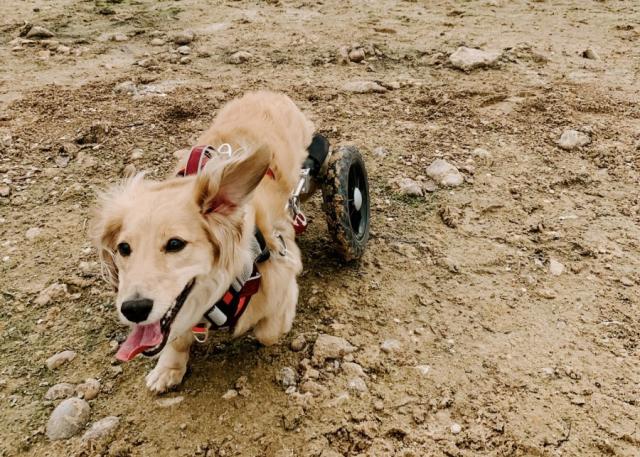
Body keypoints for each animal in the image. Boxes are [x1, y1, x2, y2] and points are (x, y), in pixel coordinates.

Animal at [92, 91, 316, 392]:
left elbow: (268, 330)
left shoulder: (284, 270)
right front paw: (169, 367)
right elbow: (175, 337)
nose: (133, 309)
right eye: (123, 248)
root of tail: (267, 93)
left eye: (175, 244)